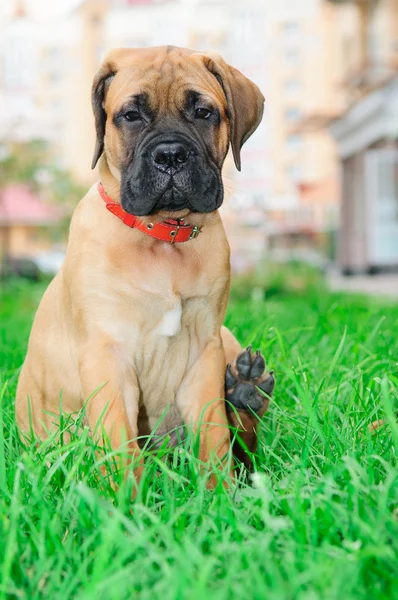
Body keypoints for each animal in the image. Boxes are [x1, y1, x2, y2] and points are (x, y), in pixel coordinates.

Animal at [17, 45, 276, 482]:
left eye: (204, 112)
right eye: (130, 115)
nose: (170, 155)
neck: (163, 239)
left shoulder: (203, 350)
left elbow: (213, 433)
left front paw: (218, 490)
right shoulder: (107, 353)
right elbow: (119, 441)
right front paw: (124, 497)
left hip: (225, 338)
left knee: (245, 441)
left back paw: (245, 392)